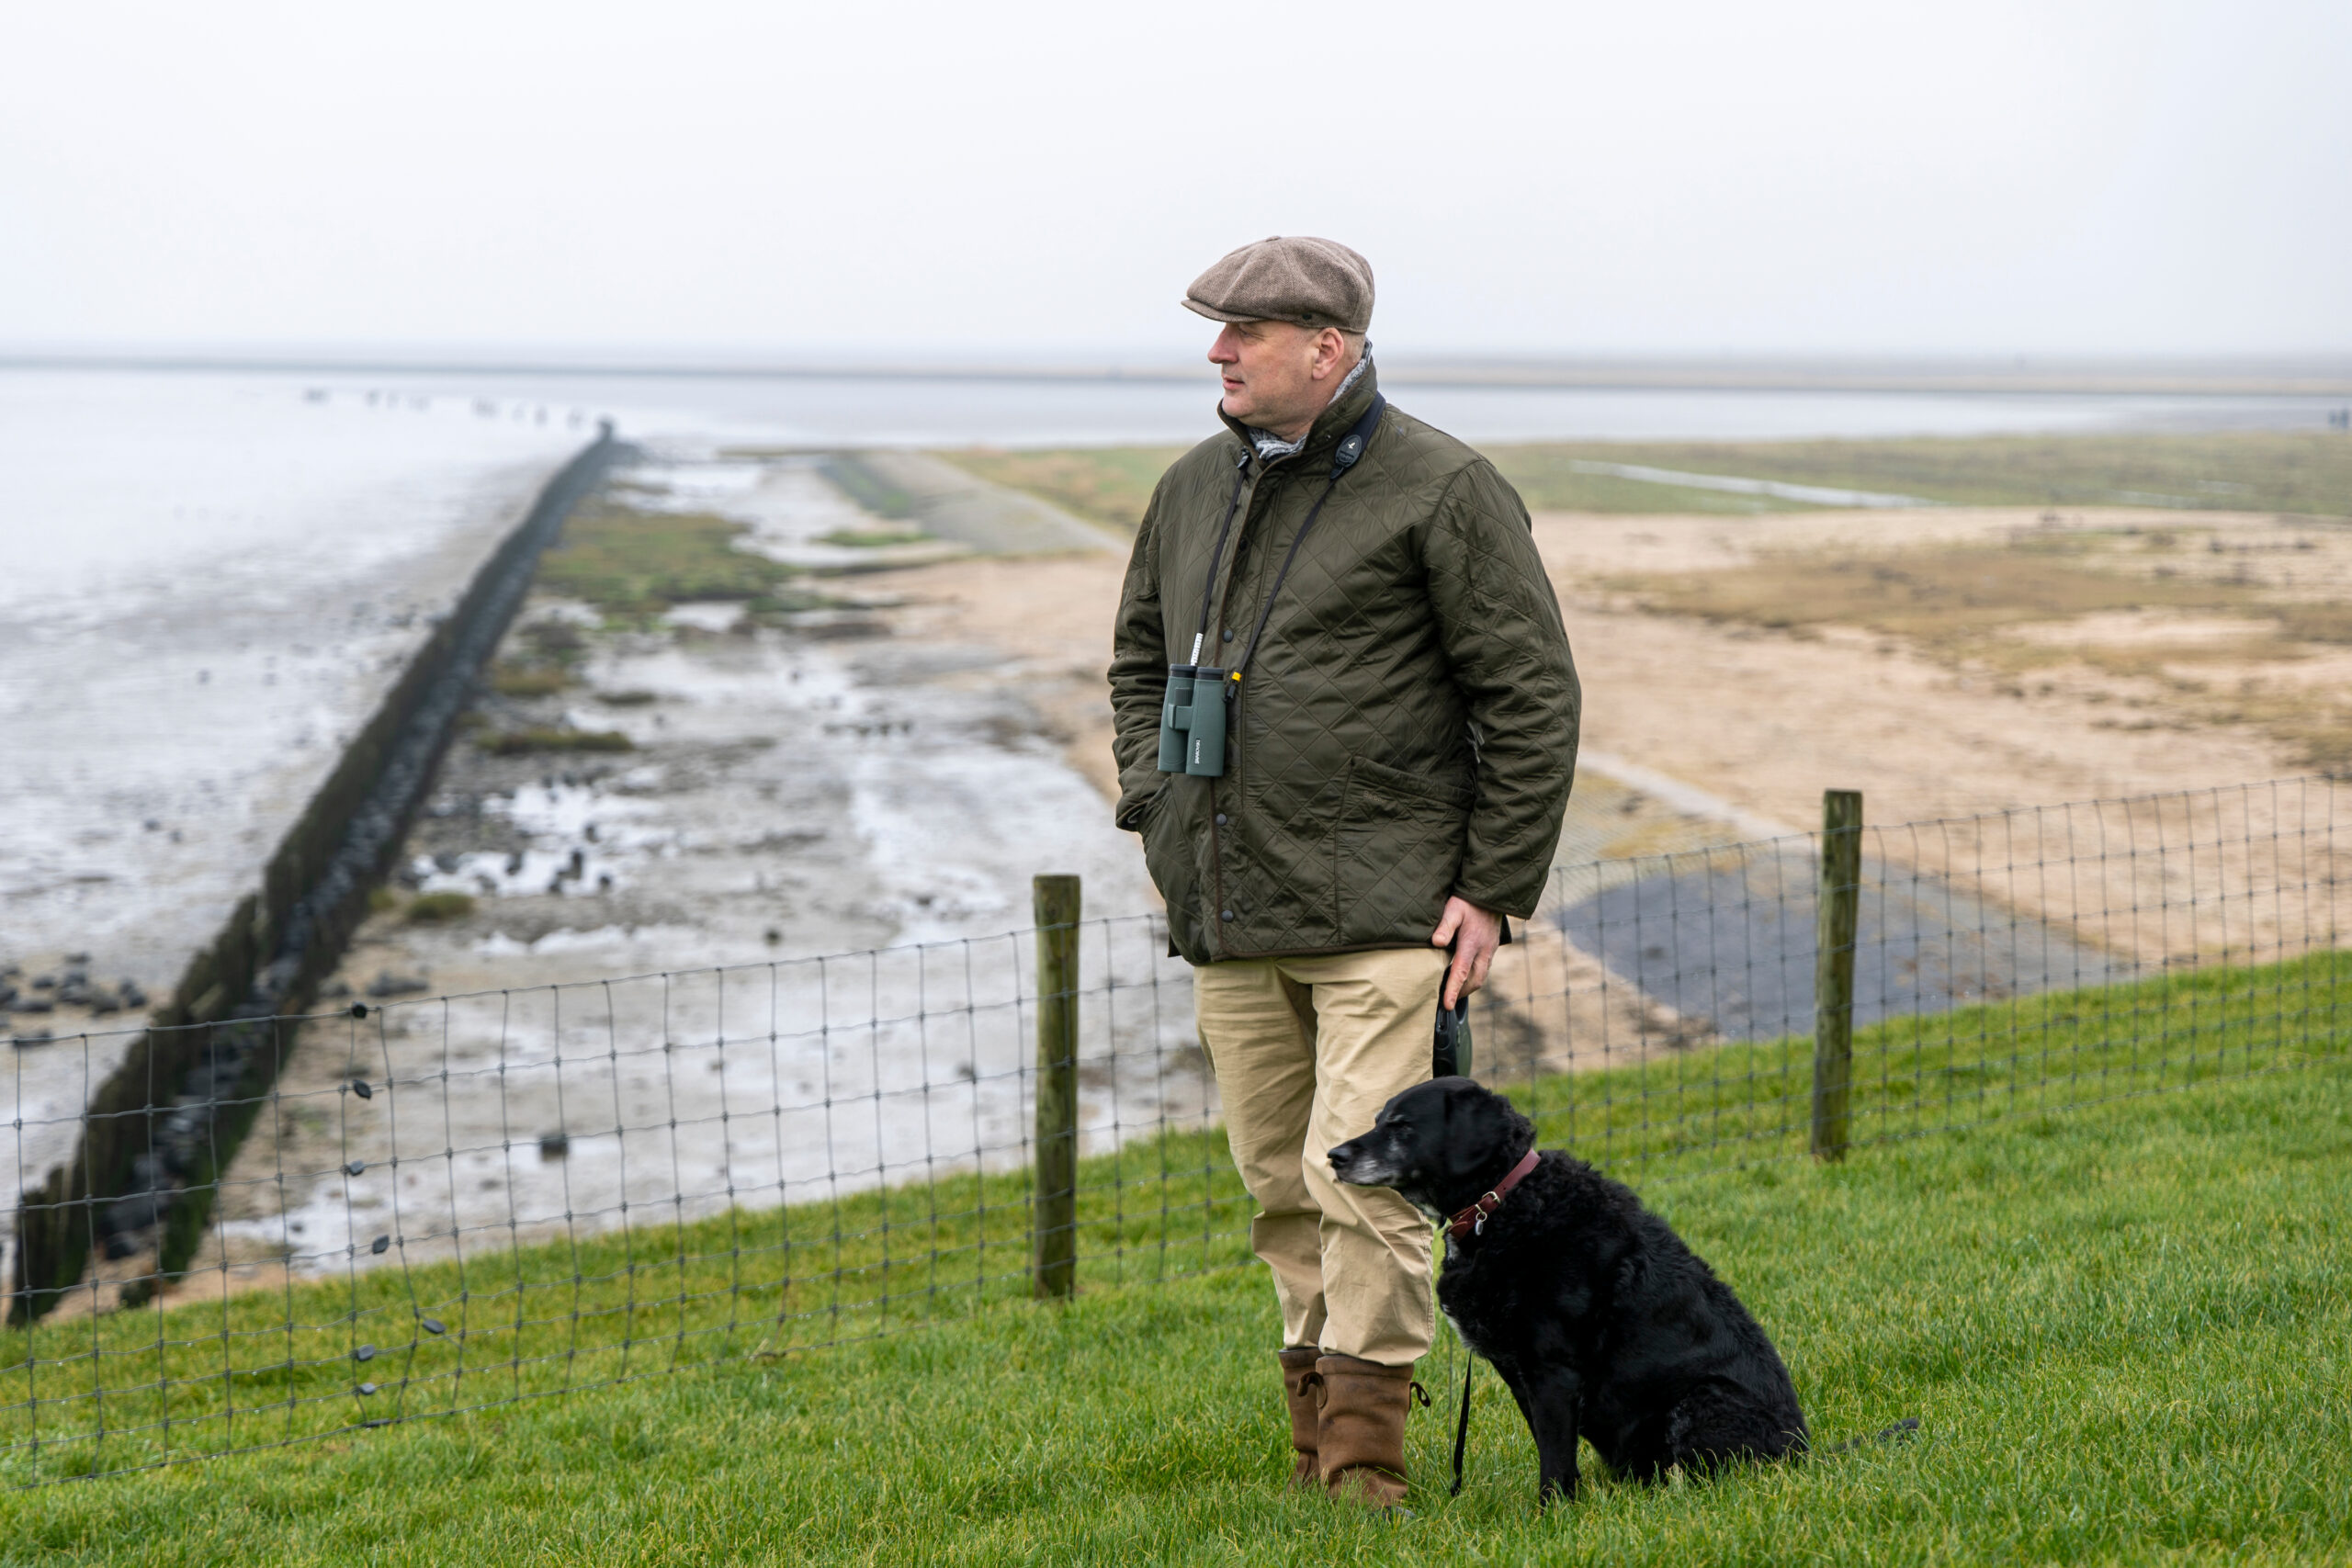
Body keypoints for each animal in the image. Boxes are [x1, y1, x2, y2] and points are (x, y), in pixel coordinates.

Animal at [1336, 1072, 1806, 1504]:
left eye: (1402, 1126)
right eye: (1377, 1120)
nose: (1333, 1156)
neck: (1503, 1203)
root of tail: (1803, 1451)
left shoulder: (1552, 1368)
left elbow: (1556, 1453)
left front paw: (1554, 1510)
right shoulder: (1520, 1373)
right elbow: (1548, 1442)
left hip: (1698, 1402)